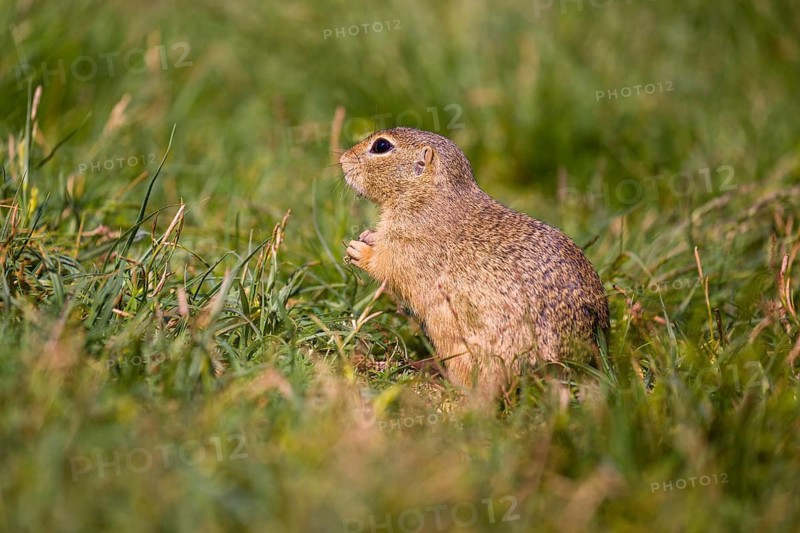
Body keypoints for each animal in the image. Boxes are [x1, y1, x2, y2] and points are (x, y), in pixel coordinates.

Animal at [340, 127, 609, 394]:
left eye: (381, 146)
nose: (342, 160)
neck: (425, 196)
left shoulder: (408, 246)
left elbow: (385, 264)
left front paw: (358, 250)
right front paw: (368, 236)